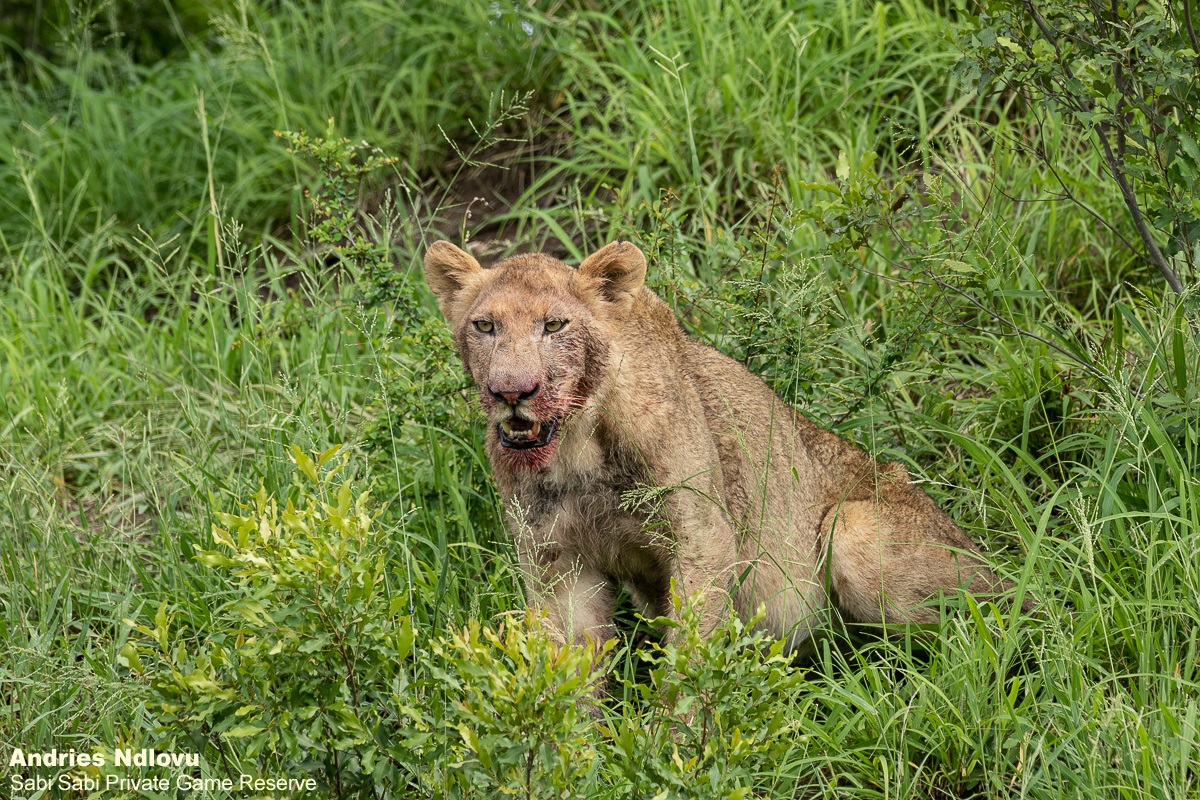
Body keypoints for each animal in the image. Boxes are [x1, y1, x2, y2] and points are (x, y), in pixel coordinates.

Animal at [424, 239, 1016, 654]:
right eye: (485, 326)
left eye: (554, 325)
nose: (512, 392)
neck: (575, 448)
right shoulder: (556, 562)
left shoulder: (704, 538)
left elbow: (690, 655)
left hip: (857, 530)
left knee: (982, 632)